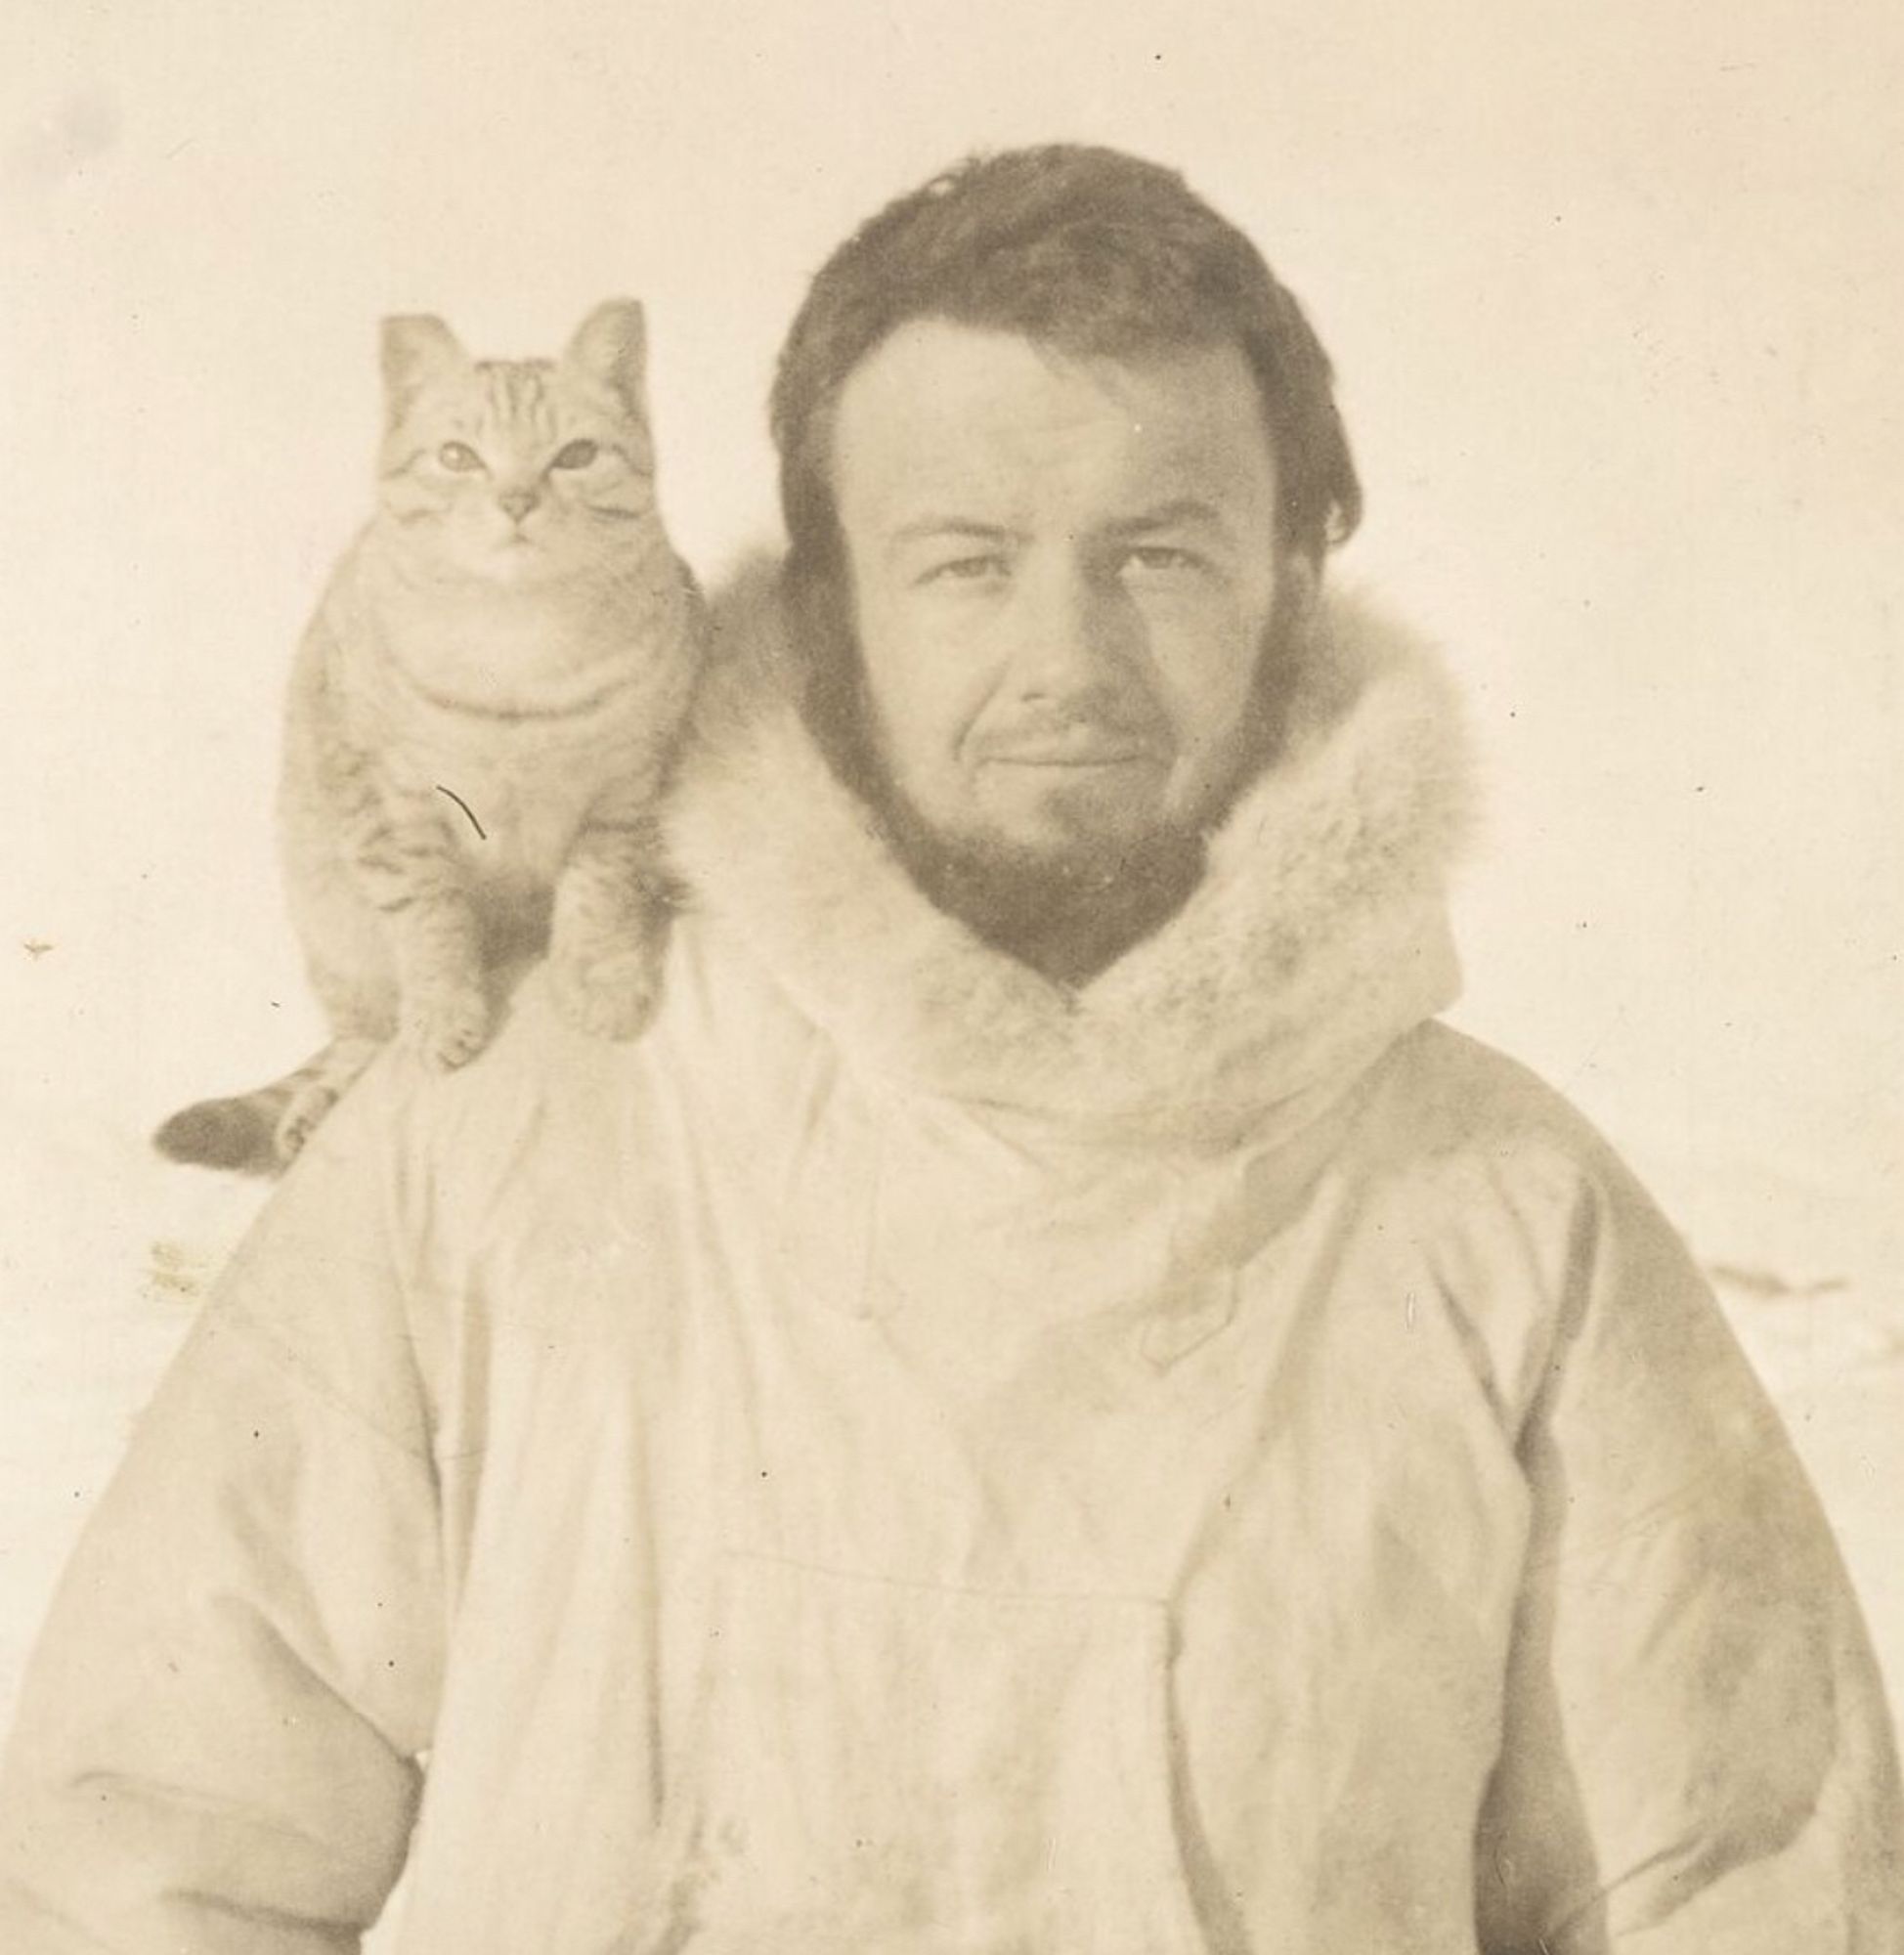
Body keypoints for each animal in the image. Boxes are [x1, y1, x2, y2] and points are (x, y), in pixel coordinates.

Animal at [158, 297, 708, 1165]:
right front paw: (447, 1014)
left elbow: (598, 899)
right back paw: (317, 1104)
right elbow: (430, 924)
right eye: (458, 457)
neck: (519, 647)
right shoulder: (390, 807)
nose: (516, 500)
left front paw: (599, 981)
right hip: (334, 926)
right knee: (359, 1039)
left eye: (576, 455)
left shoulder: (627, 791)